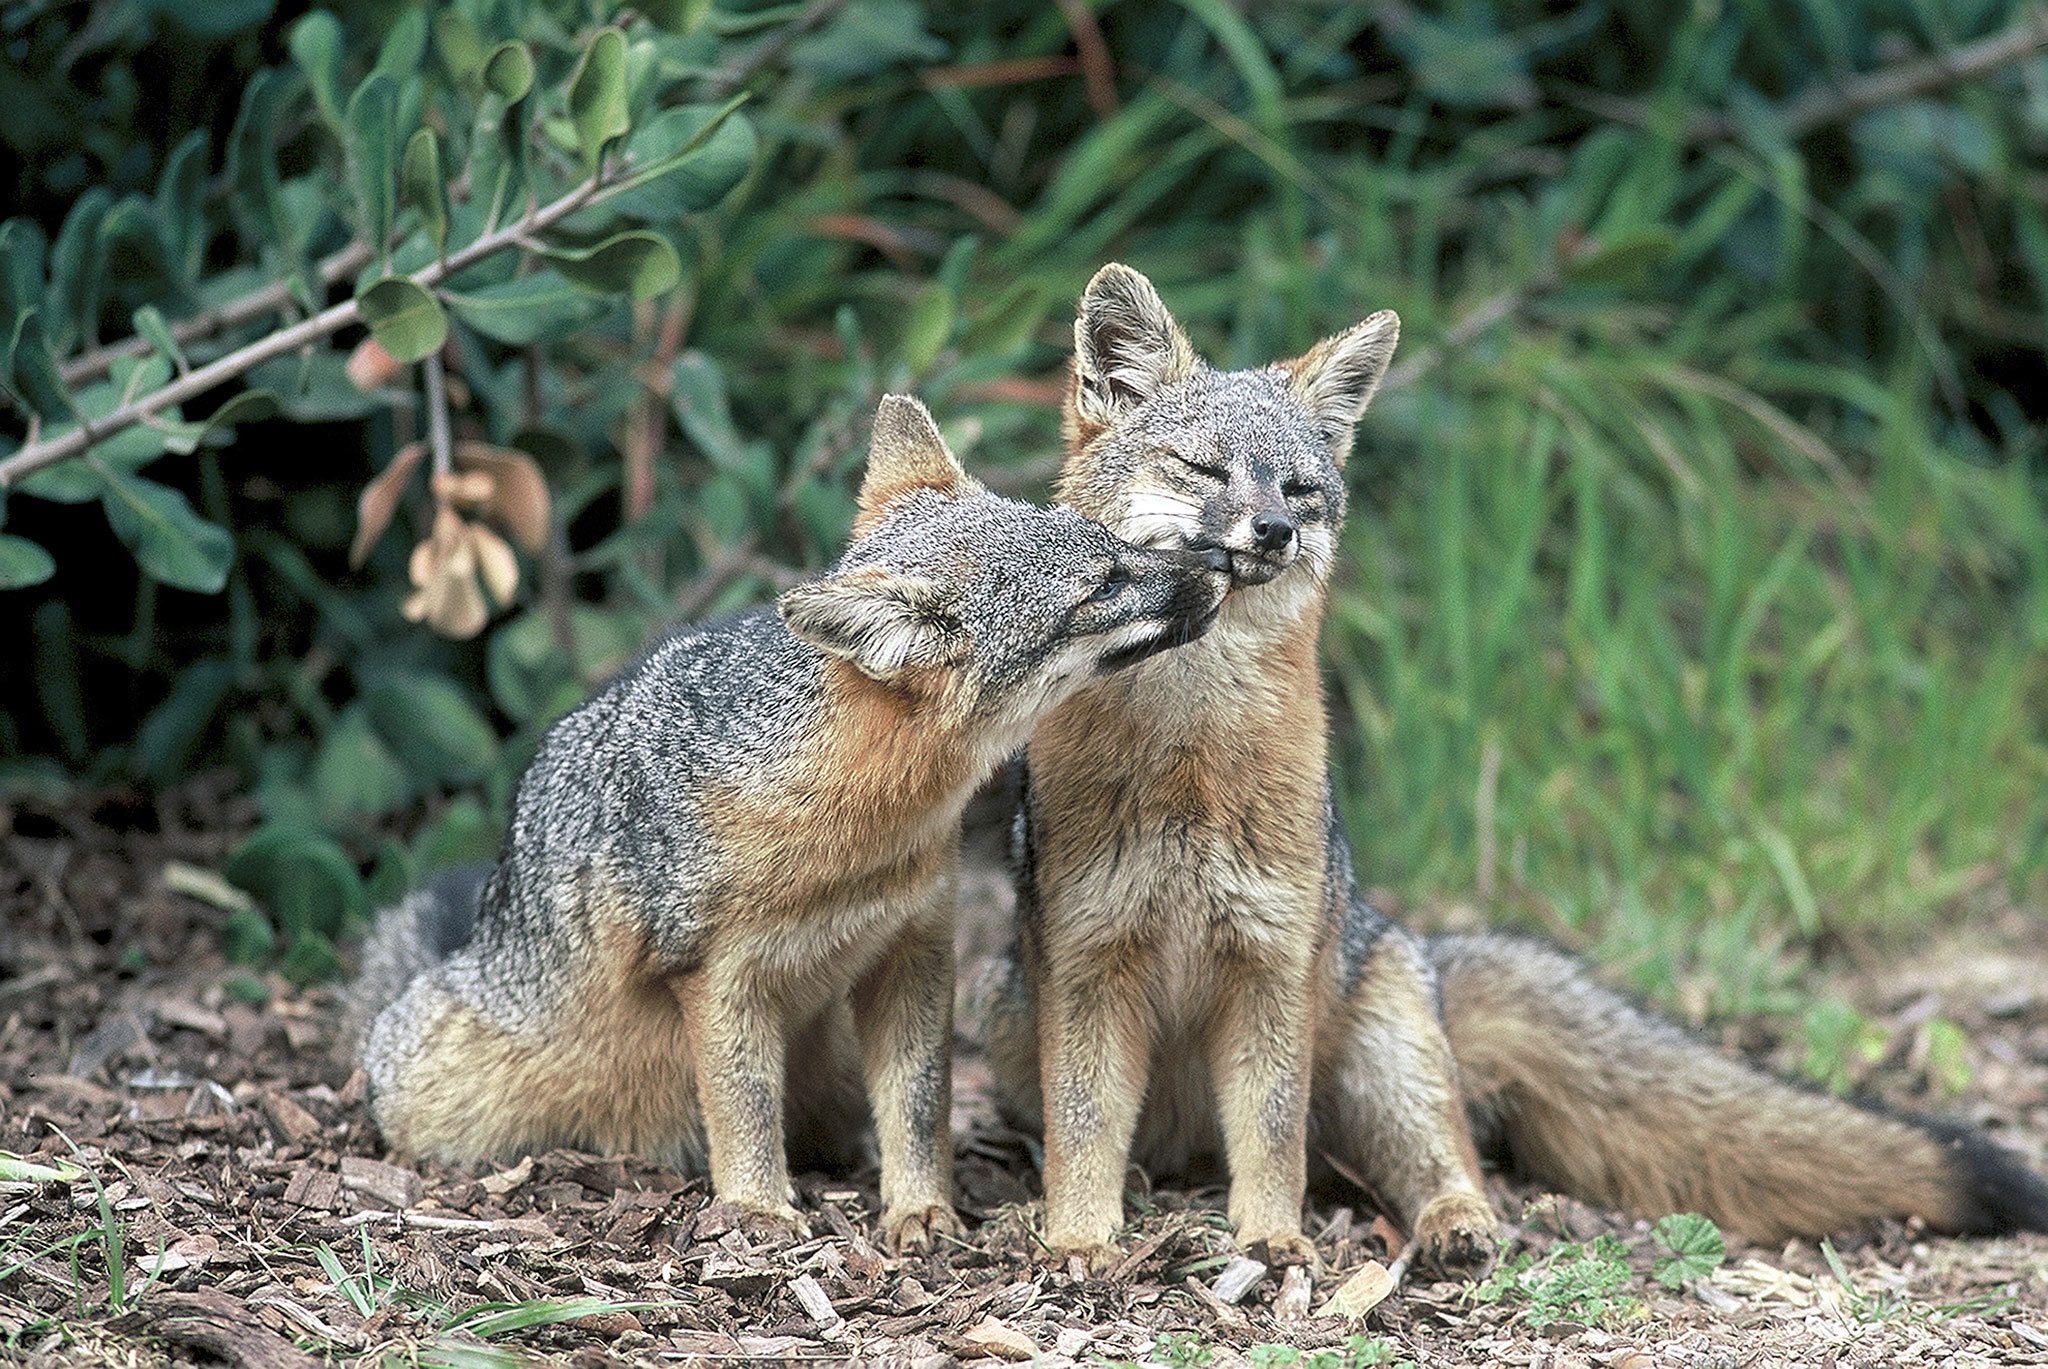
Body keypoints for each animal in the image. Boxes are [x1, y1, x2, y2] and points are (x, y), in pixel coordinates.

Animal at [344, 394, 1229, 1251]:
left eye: (1114, 542)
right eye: (1102, 586)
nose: (1220, 563)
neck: (854, 837)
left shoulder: (915, 945)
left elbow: (921, 1104)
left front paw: (919, 1209)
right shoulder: (716, 976)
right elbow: (742, 1105)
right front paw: (758, 1210)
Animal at [976, 264, 2048, 1273]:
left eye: (1298, 491)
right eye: (1202, 469)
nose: (1274, 532)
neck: (1190, 761)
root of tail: (1413, 940)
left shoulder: (1269, 967)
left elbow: (1273, 1144)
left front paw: (1273, 1238)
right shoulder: (1091, 964)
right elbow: (1084, 1134)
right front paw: (1078, 1239)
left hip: (1383, 1063)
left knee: (1434, 1161)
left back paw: (1457, 1226)